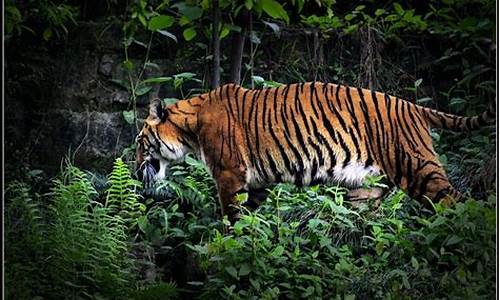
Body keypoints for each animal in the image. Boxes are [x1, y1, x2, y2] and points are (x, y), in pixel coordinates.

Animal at [134, 82, 496, 223]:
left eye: (139, 142)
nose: (136, 168)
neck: (190, 126)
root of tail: (413, 106)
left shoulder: (229, 175)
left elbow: (230, 216)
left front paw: (223, 245)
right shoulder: (255, 183)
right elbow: (250, 217)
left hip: (418, 168)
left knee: (457, 203)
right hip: (367, 187)